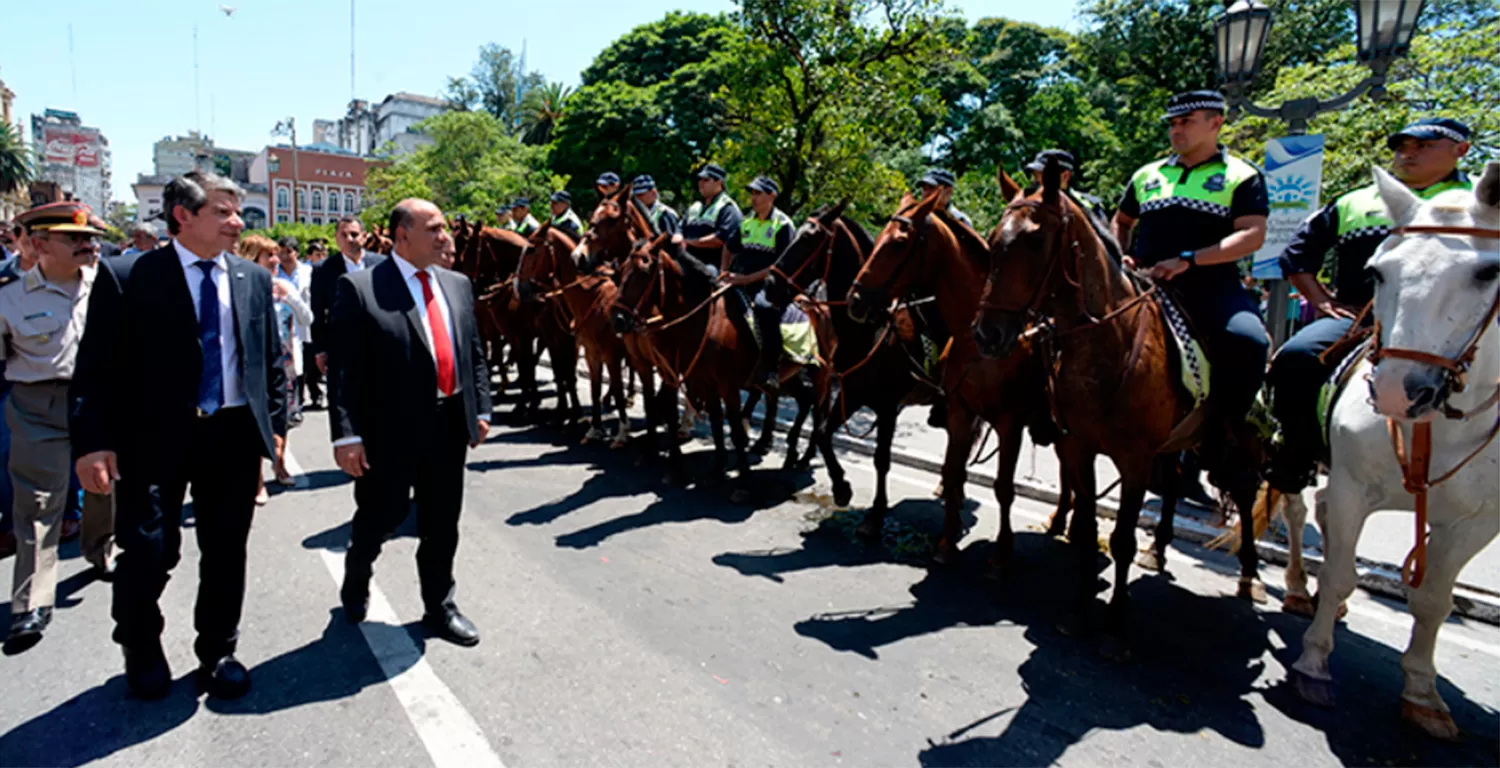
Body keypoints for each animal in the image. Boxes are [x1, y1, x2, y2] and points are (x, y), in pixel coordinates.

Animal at [852, 189, 1074, 570]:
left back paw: (1064, 524)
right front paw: (946, 542)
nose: (855, 299)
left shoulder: (1009, 425)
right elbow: (955, 469)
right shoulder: (960, 411)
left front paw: (1001, 555)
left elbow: (1003, 488)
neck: (977, 343)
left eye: (899, 242)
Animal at [972, 163, 1266, 654]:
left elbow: (1123, 538)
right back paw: (1160, 548)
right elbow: (1090, 529)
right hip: (1174, 446)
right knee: (1174, 484)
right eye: (993, 239)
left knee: (1243, 493)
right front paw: (1079, 610)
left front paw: (1114, 624)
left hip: (1233, 448)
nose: (987, 334)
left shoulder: (1134, 459)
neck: (1110, 341)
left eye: (1035, 241)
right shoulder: (1079, 448)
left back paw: (1249, 574)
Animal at [1278, 160, 1500, 738]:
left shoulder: (1478, 521)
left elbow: (1434, 601)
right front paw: (1313, 665)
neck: (1434, 428)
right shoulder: (1354, 485)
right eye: (1379, 271)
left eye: (1488, 272)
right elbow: (1338, 573)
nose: (1401, 389)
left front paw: (1423, 693)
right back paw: (1297, 589)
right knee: (1299, 511)